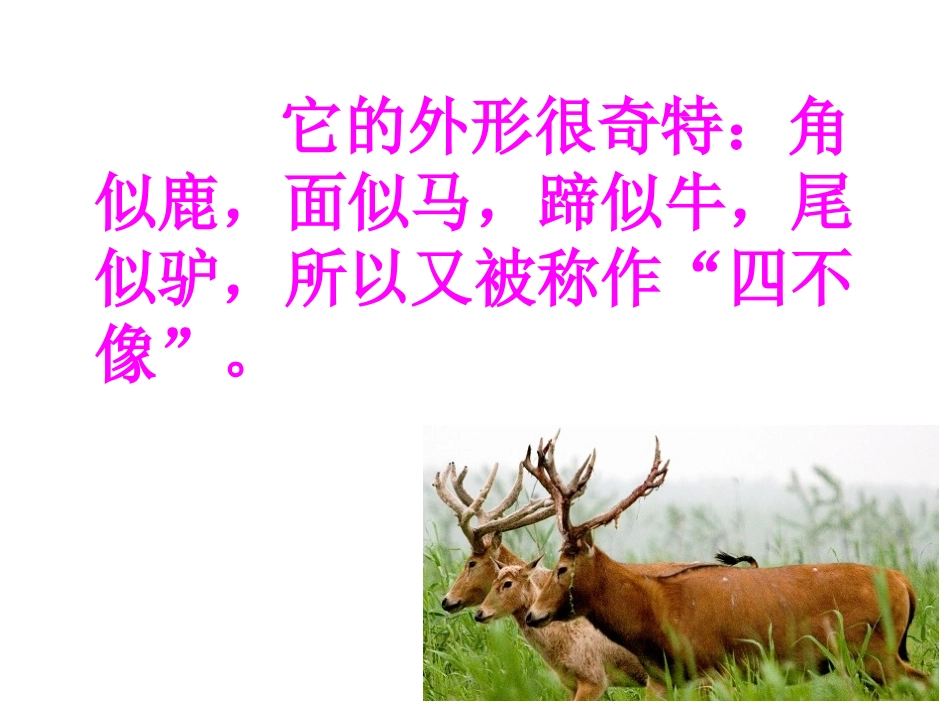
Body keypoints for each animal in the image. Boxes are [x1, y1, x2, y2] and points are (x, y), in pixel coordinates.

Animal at [523, 433, 930, 691]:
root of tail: (904, 582)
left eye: (561, 569)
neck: (656, 613)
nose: (532, 614)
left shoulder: (713, 669)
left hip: (873, 648)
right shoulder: (665, 679)